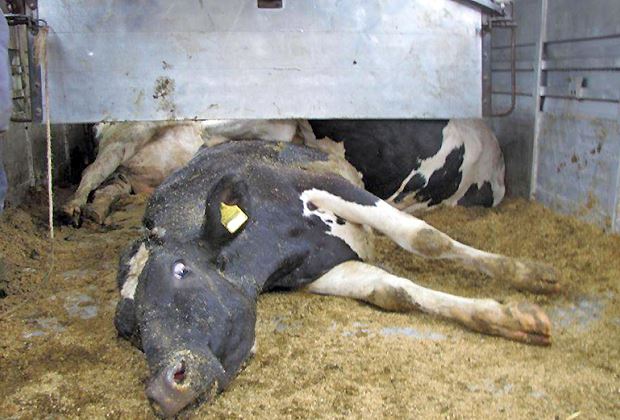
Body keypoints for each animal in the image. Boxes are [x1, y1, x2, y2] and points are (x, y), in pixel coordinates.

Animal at [114, 140, 557, 417]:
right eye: (133, 331)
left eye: (181, 269)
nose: (163, 391)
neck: (274, 242)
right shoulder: (315, 271)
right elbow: (392, 291)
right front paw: (504, 318)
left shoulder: (324, 183)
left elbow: (426, 239)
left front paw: (528, 273)